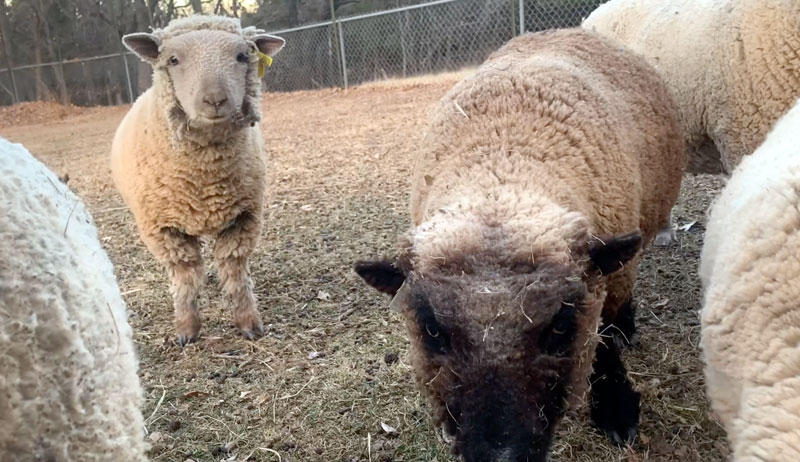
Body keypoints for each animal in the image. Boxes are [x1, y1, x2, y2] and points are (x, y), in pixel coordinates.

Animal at [111, 15, 285, 345]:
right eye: (173, 59)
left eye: (242, 56)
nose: (215, 100)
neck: (205, 178)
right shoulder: (164, 229)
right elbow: (186, 277)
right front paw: (186, 329)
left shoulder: (243, 218)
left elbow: (235, 271)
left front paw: (248, 323)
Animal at [355, 29, 685, 462]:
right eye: (432, 331)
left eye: (560, 325)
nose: (500, 456)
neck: (504, 168)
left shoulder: (604, 283)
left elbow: (604, 342)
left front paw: (616, 409)